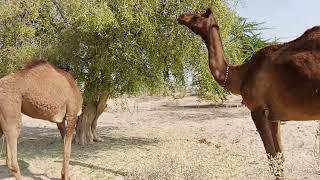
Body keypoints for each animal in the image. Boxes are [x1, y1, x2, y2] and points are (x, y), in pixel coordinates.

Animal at [179, 8, 320, 179]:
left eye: (196, 16)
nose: (180, 17)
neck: (242, 74)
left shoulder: (257, 109)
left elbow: (272, 159)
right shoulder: (273, 114)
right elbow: (280, 158)